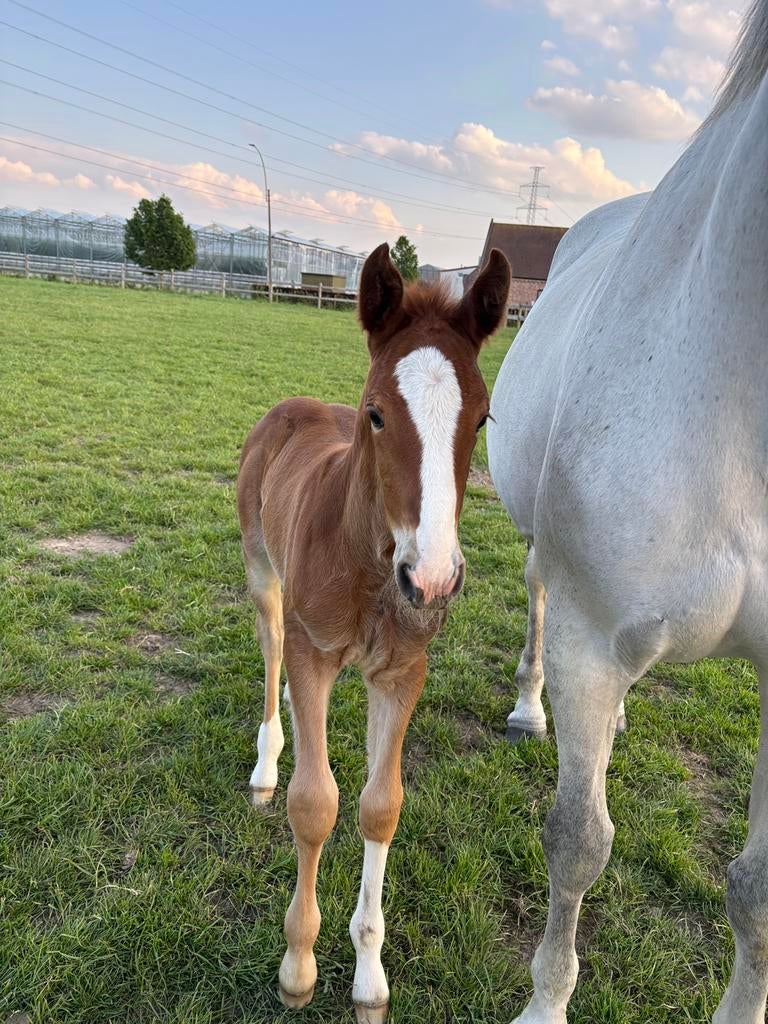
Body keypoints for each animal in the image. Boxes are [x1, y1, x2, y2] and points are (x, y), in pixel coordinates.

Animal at [237, 243, 510, 1022]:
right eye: (378, 415)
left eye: (483, 419)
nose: (434, 580)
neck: (370, 564)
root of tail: (292, 408)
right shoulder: (315, 652)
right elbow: (314, 803)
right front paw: (298, 967)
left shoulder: (400, 672)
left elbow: (379, 807)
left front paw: (368, 977)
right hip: (263, 575)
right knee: (271, 651)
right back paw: (267, 762)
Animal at [487, 0, 768, 1018]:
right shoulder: (589, 632)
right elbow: (578, 844)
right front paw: (544, 1002)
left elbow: (758, 891)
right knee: (534, 598)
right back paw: (532, 708)